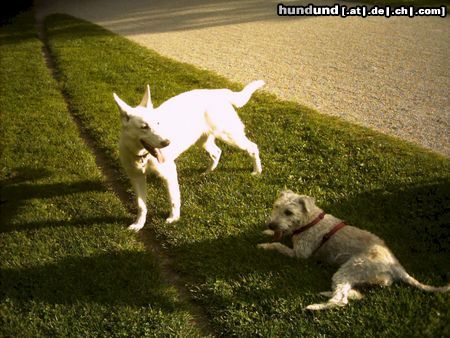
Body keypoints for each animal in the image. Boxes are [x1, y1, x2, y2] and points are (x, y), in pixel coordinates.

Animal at [112, 80, 264, 231]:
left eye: (158, 123)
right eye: (144, 127)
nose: (167, 142)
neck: (143, 156)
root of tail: (217, 92)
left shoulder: (169, 173)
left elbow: (173, 200)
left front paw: (174, 218)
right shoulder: (136, 178)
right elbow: (141, 205)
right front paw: (139, 224)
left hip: (230, 137)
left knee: (253, 147)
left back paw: (257, 171)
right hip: (203, 141)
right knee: (217, 152)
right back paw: (208, 172)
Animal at [258, 190, 448, 308]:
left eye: (288, 212)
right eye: (276, 206)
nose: (270, 224)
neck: (310, 220)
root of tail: (397, 266)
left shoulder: (300, 253)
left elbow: (278, 245)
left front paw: (264, 245)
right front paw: (267, 232)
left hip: (352, 268)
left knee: (341, 300)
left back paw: (314, 306)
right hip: (369, 277)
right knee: (351, 292)